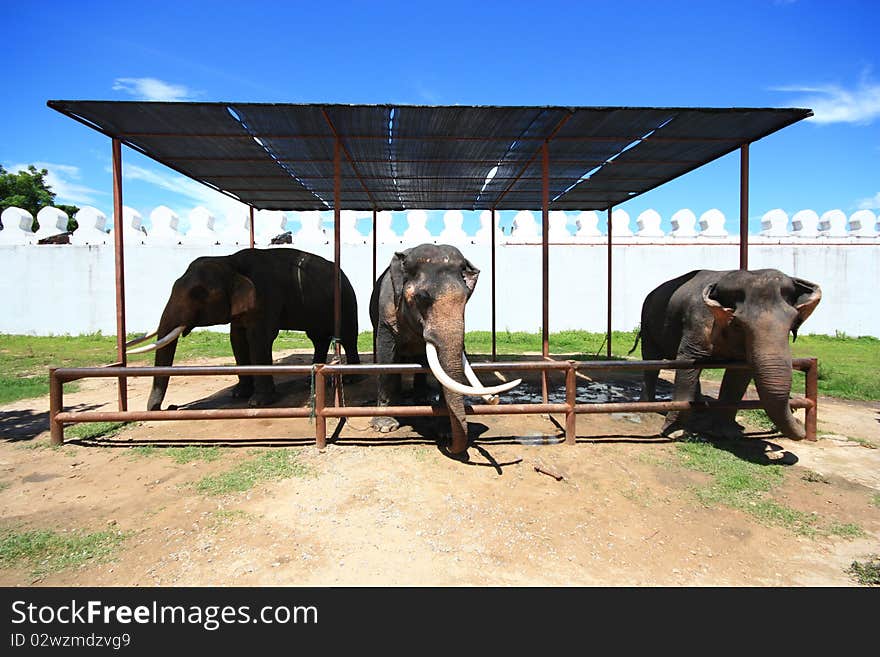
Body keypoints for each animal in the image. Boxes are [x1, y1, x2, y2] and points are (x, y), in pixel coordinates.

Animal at [125, 247, 360, 410]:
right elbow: (236, 339)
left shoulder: (266, 295)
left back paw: (349, 379)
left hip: (346, 300)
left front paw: (258, 402)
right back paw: (310, 376)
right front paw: (238, 395)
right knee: (318, 338)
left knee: (347, 337)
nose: (168, 407)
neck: (229, 261)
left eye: (198, 293)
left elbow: (259, 338)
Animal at [368, 242, 520, 456]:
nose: (496, 399)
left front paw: (446, 432)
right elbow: (386, 357)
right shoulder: (386, 312)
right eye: (422, 298)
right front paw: (384, 427)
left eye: (466, 299)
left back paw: (421, 398)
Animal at [636, 266, 820, 440]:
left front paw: (727, 433)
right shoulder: (698, 321)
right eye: (738, 324)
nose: (799, 422)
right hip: (647, 323)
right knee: (651, 358)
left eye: (793, 323)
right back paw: (647, 405)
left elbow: (739, 373)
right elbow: (688, 362)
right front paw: (676, 432)